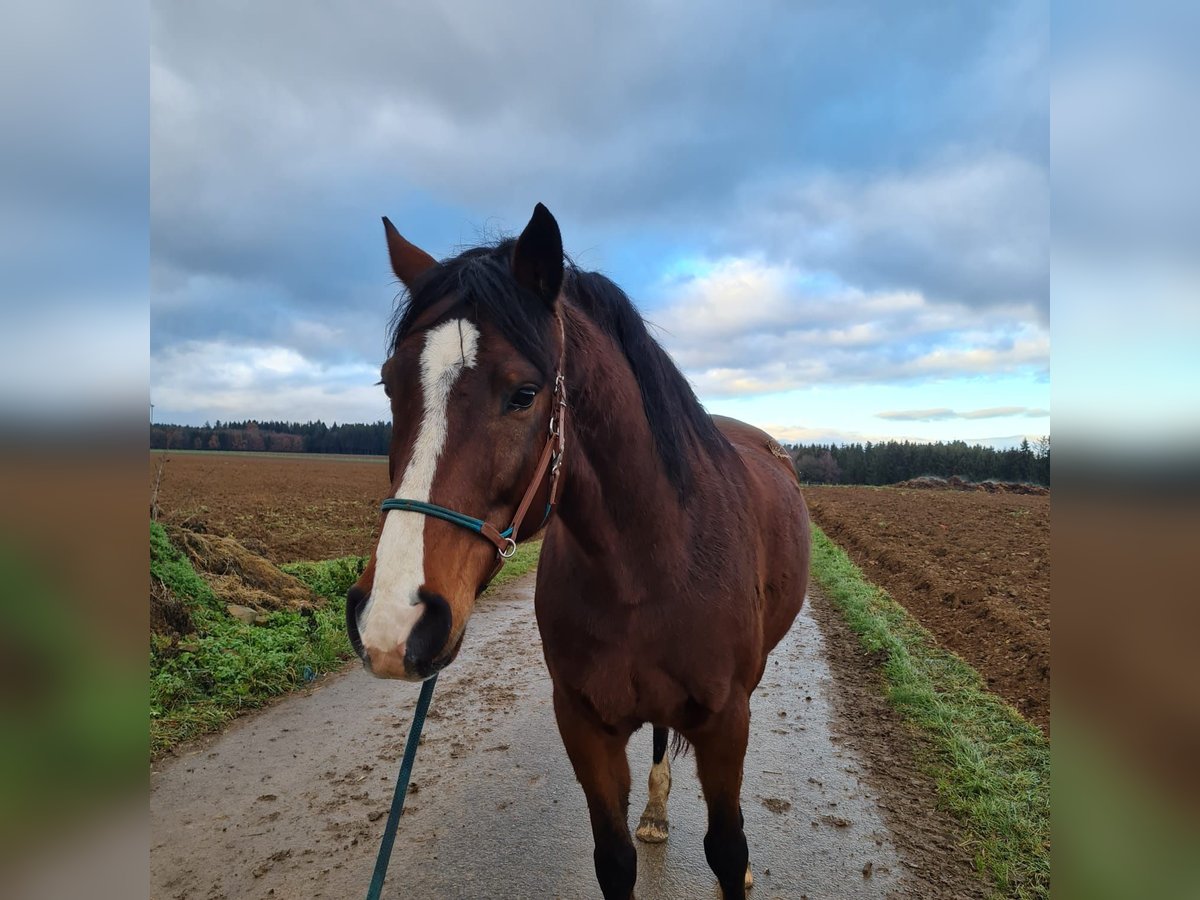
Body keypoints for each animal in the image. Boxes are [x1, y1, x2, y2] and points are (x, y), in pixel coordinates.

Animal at [350, 206, 816, 900]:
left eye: (524, 393)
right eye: (389, 386)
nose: (392, 621)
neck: (652, 567)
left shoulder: (726, 720)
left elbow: (728, 850)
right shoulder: (584, 722)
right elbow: (615, 859)